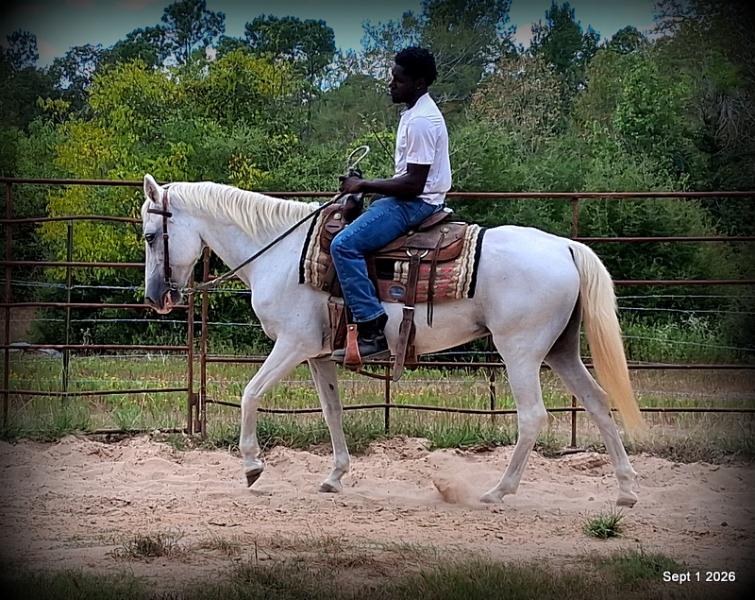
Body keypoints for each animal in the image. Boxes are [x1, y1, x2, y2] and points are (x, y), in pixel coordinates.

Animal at [140, 174, 644, 507]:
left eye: (149, 236)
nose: (156, 297)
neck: (281, 254)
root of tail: (565, 246)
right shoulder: (319, 354)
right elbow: (332, 411)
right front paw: (335, 476)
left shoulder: (292, 345)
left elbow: (249, 394)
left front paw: (251, 466)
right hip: (561, 351)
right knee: (598, 403)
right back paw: (624, 490)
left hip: (520, 352)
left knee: (533, 416)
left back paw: (498, 491)